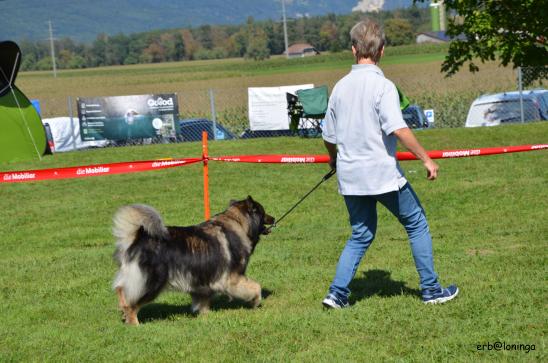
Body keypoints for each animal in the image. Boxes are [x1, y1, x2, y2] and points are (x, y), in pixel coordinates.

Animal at [112, 198, 274, 326]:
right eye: (263, 212)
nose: (273, 218)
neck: (238, 222)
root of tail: (137, 238)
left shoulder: (202, 280)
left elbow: (203, 300)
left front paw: (205, 315)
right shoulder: (232, 278)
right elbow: (255, 287)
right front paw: (256, 301)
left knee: (120, 289)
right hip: (152, 282)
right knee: (132, 304)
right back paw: (134, 323)